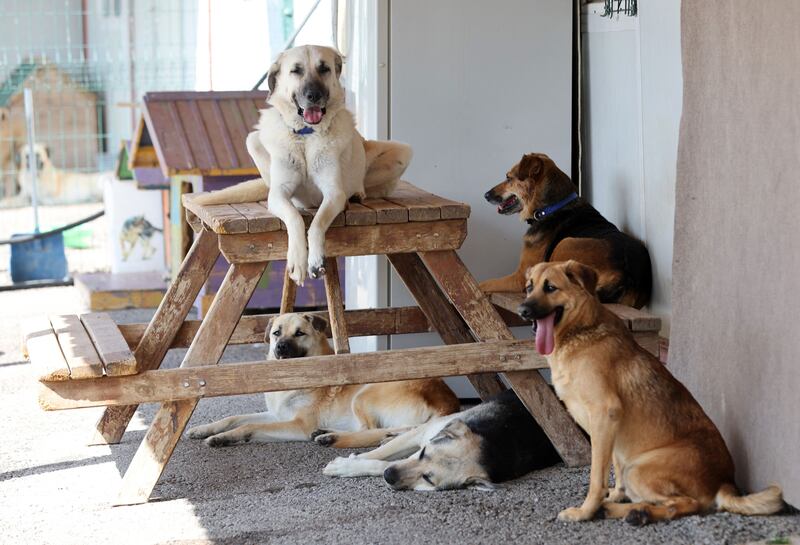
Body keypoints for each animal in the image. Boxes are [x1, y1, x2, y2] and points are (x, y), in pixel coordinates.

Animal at [185, 312, 460, 448]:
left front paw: (226, 438)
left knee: (370, 430)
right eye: (276, 333)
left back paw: (331, 437)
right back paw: (327, 433)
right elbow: (233, 418)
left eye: (299, 333)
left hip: (364, 395)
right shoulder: (277, 415)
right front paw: (205, 430)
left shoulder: (297, 425)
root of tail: (447, 401)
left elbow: (247, 426)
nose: (281, 348)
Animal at [189, 44, 412, 286]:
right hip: (253, 140)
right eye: (296, 71)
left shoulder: (333, 193)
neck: (306, 135)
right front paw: (297, 260)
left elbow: (316, 224)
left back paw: (355, 195)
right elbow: (295, 218)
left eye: (324, 69)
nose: (313, 96)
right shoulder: (278, 194)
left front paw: (315, 260)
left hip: (403, 152)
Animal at [322, 388, 560, 490]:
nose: (390, 476)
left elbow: (382, 464)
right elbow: (378, 454)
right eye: (423, 453)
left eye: (428, 479)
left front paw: (349, 467)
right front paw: (350, 462)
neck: (493, 443)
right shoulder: (425, 433)